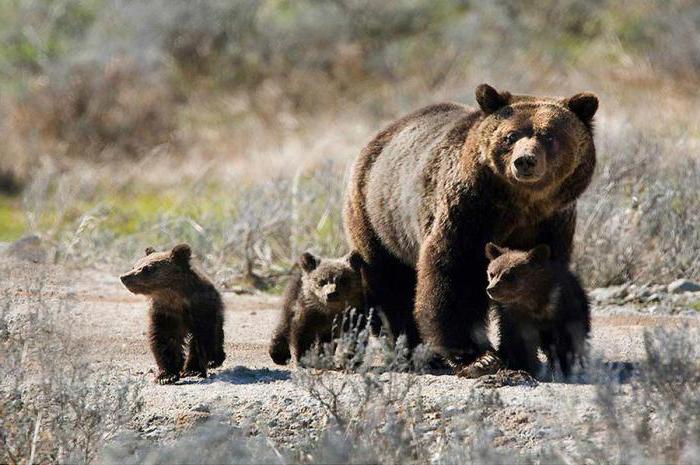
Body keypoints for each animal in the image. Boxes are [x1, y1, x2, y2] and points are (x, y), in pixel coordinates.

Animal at [344, 83, 596, 374]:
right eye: (510, 136)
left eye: (549, 135)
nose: (525, 161)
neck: (521, 206)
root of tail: (379, 137)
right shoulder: (468, 216)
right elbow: (453, 275)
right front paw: (478, 356)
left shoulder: (552, 225)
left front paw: (556, 349)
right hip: (378, 220)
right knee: (390, 284)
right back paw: (413, 350)